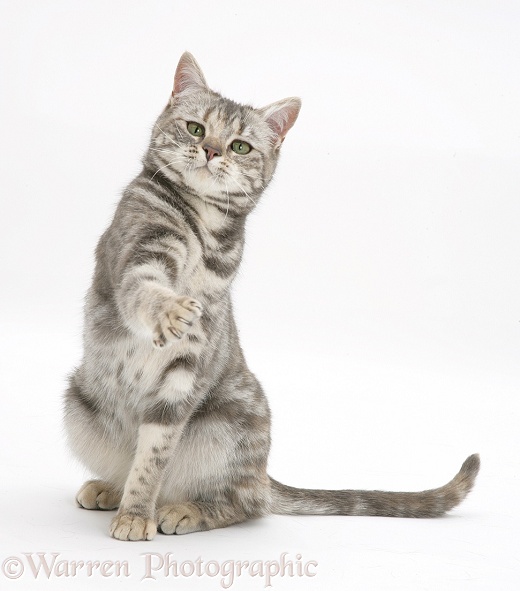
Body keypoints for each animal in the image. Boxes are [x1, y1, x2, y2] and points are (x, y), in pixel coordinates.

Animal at [64, 53, 480, 544]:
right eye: (196, 129)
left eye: (240, 146)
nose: (212, 151)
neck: (202, 228)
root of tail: (263, 474)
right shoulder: (137, 256)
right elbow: (144, 289)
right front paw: (170, 309)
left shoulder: (186, 371)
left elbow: (153, 457)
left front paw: (137, 513)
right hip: (78, 404)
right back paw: (110, 489)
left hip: (232, 424)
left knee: (245, 503)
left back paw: (186, 509)